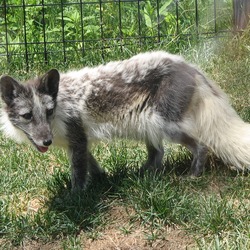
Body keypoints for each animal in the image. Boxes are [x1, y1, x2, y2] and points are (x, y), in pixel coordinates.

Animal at [0, 52, 250, 189]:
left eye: (49, 111)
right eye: (27, 116)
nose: (47, 142)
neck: (61, 103)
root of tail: (189, 67)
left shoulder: (77, 139)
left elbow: (78, 173)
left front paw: (75, 199)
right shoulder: (79, 142)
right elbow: (92, 165)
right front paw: (101, 180)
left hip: (166, 125)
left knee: (201, 145)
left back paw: (193, 176)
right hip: (148, 123)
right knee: (158, 153)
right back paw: (145, 174)